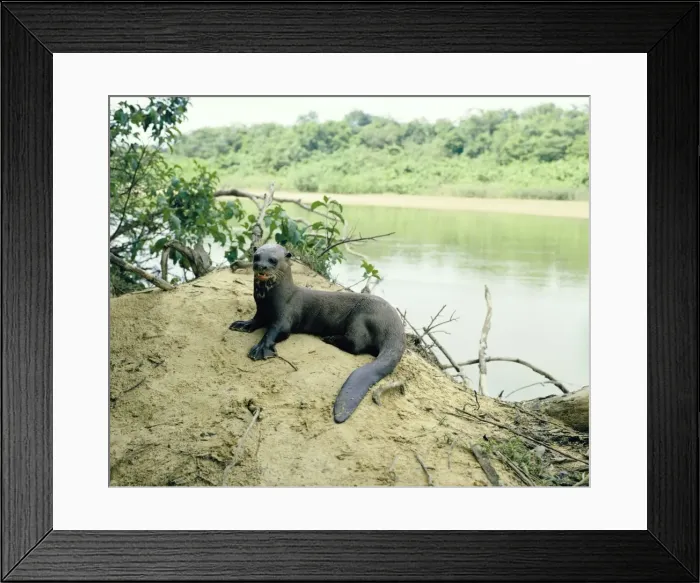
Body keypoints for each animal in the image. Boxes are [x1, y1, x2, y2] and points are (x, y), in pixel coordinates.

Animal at [229, 243, 406, 423]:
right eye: (256, 257)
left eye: (273, 260)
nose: (261, 266)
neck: (272, 300)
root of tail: (396, 326)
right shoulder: (261, 311)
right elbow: (256, 320)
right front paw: (243, 324)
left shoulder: (284, 317)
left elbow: (275, 332)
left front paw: (261, 348)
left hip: (361, 318)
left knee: (357, 345)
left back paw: (330, 338)